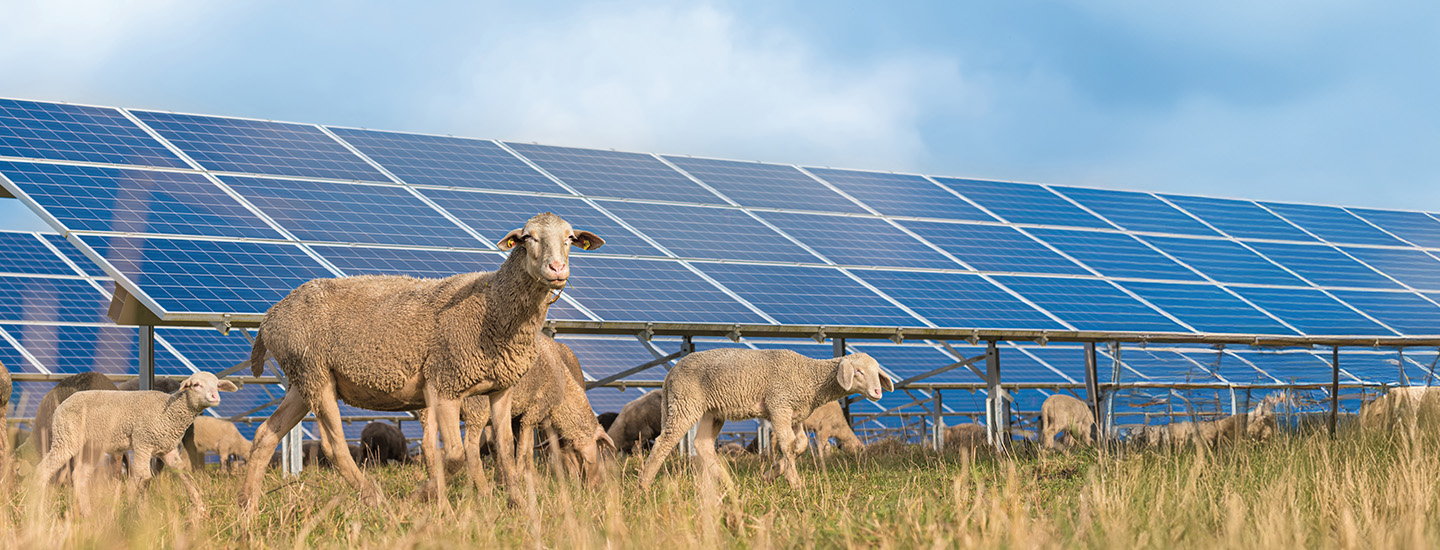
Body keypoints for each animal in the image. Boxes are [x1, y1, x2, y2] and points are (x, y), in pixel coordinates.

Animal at [33, 372, 237, 515]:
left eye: (217, 385)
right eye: (196, 384)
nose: (215, 397)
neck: (170, 414)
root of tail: (62, 404)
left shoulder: (167, 449)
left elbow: (184, 474)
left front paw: (200, 509)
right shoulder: (142, 442)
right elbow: (145, 479)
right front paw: (141, 515)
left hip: (92, 446)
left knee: (79, 476)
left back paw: (88, 515)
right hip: (66, 438)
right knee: (43, 470)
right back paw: (38, 510)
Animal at [460, 336, 614, 485]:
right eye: (580, 453)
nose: (593, 485)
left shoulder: (517, 416)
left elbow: (509, 446)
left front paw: (512, 481)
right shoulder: (534, 410)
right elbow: (525, 449)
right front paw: (523, 478)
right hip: (477, 407)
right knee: (470, 449)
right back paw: (483, 488)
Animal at [638, 349, 894, 490]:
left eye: (876, 372)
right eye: (858, 371)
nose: (878, 392)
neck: (811, 378)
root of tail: (671, 373)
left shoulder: (794, 412)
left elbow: (800, 444)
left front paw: (772, 473)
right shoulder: (779, 405)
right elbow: (787, 444)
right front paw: (794, 481)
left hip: (713, 411)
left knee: (702, 444)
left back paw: (729, 484)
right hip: (686, 403)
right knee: (664, 442)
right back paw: (644, 485)